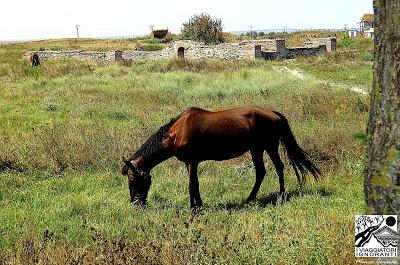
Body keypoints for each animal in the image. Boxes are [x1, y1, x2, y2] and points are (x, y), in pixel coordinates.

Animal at [122, 106, 318, 207]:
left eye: (133, 180)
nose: (136, 203)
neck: (176, 133)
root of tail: (274, 113)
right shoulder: (190, 163)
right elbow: (195, 184)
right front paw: (199, 205)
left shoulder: (192, 161)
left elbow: (192, 184)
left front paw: (193, 208)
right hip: (256, 149)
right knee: (261, 172)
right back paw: (249, 199)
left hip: (270, 147)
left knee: (279, 167)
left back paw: (281, 196)